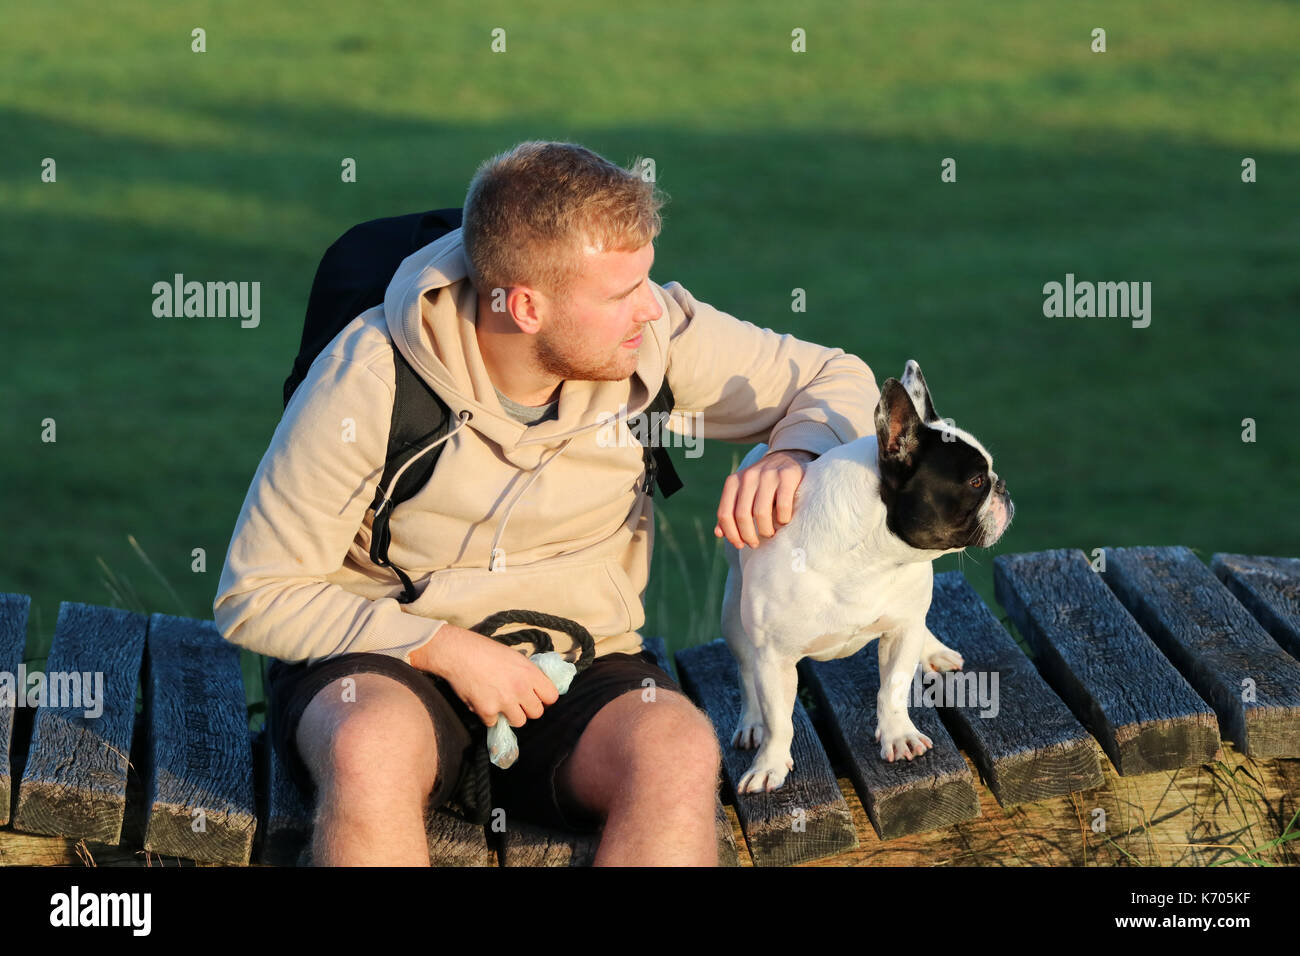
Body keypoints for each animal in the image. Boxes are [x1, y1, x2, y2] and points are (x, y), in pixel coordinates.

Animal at [722, 358, 1013, 790]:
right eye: (977, 481)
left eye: (988, 477)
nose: (1003, 487)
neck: (871, 558)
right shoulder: (773, 658)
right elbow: (779, 720)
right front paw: (768, 765)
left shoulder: (901, 631)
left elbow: (892, 688)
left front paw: (899, 735)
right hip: (734, 616)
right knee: (745, 670)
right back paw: (751, 721)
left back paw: (933, 649)